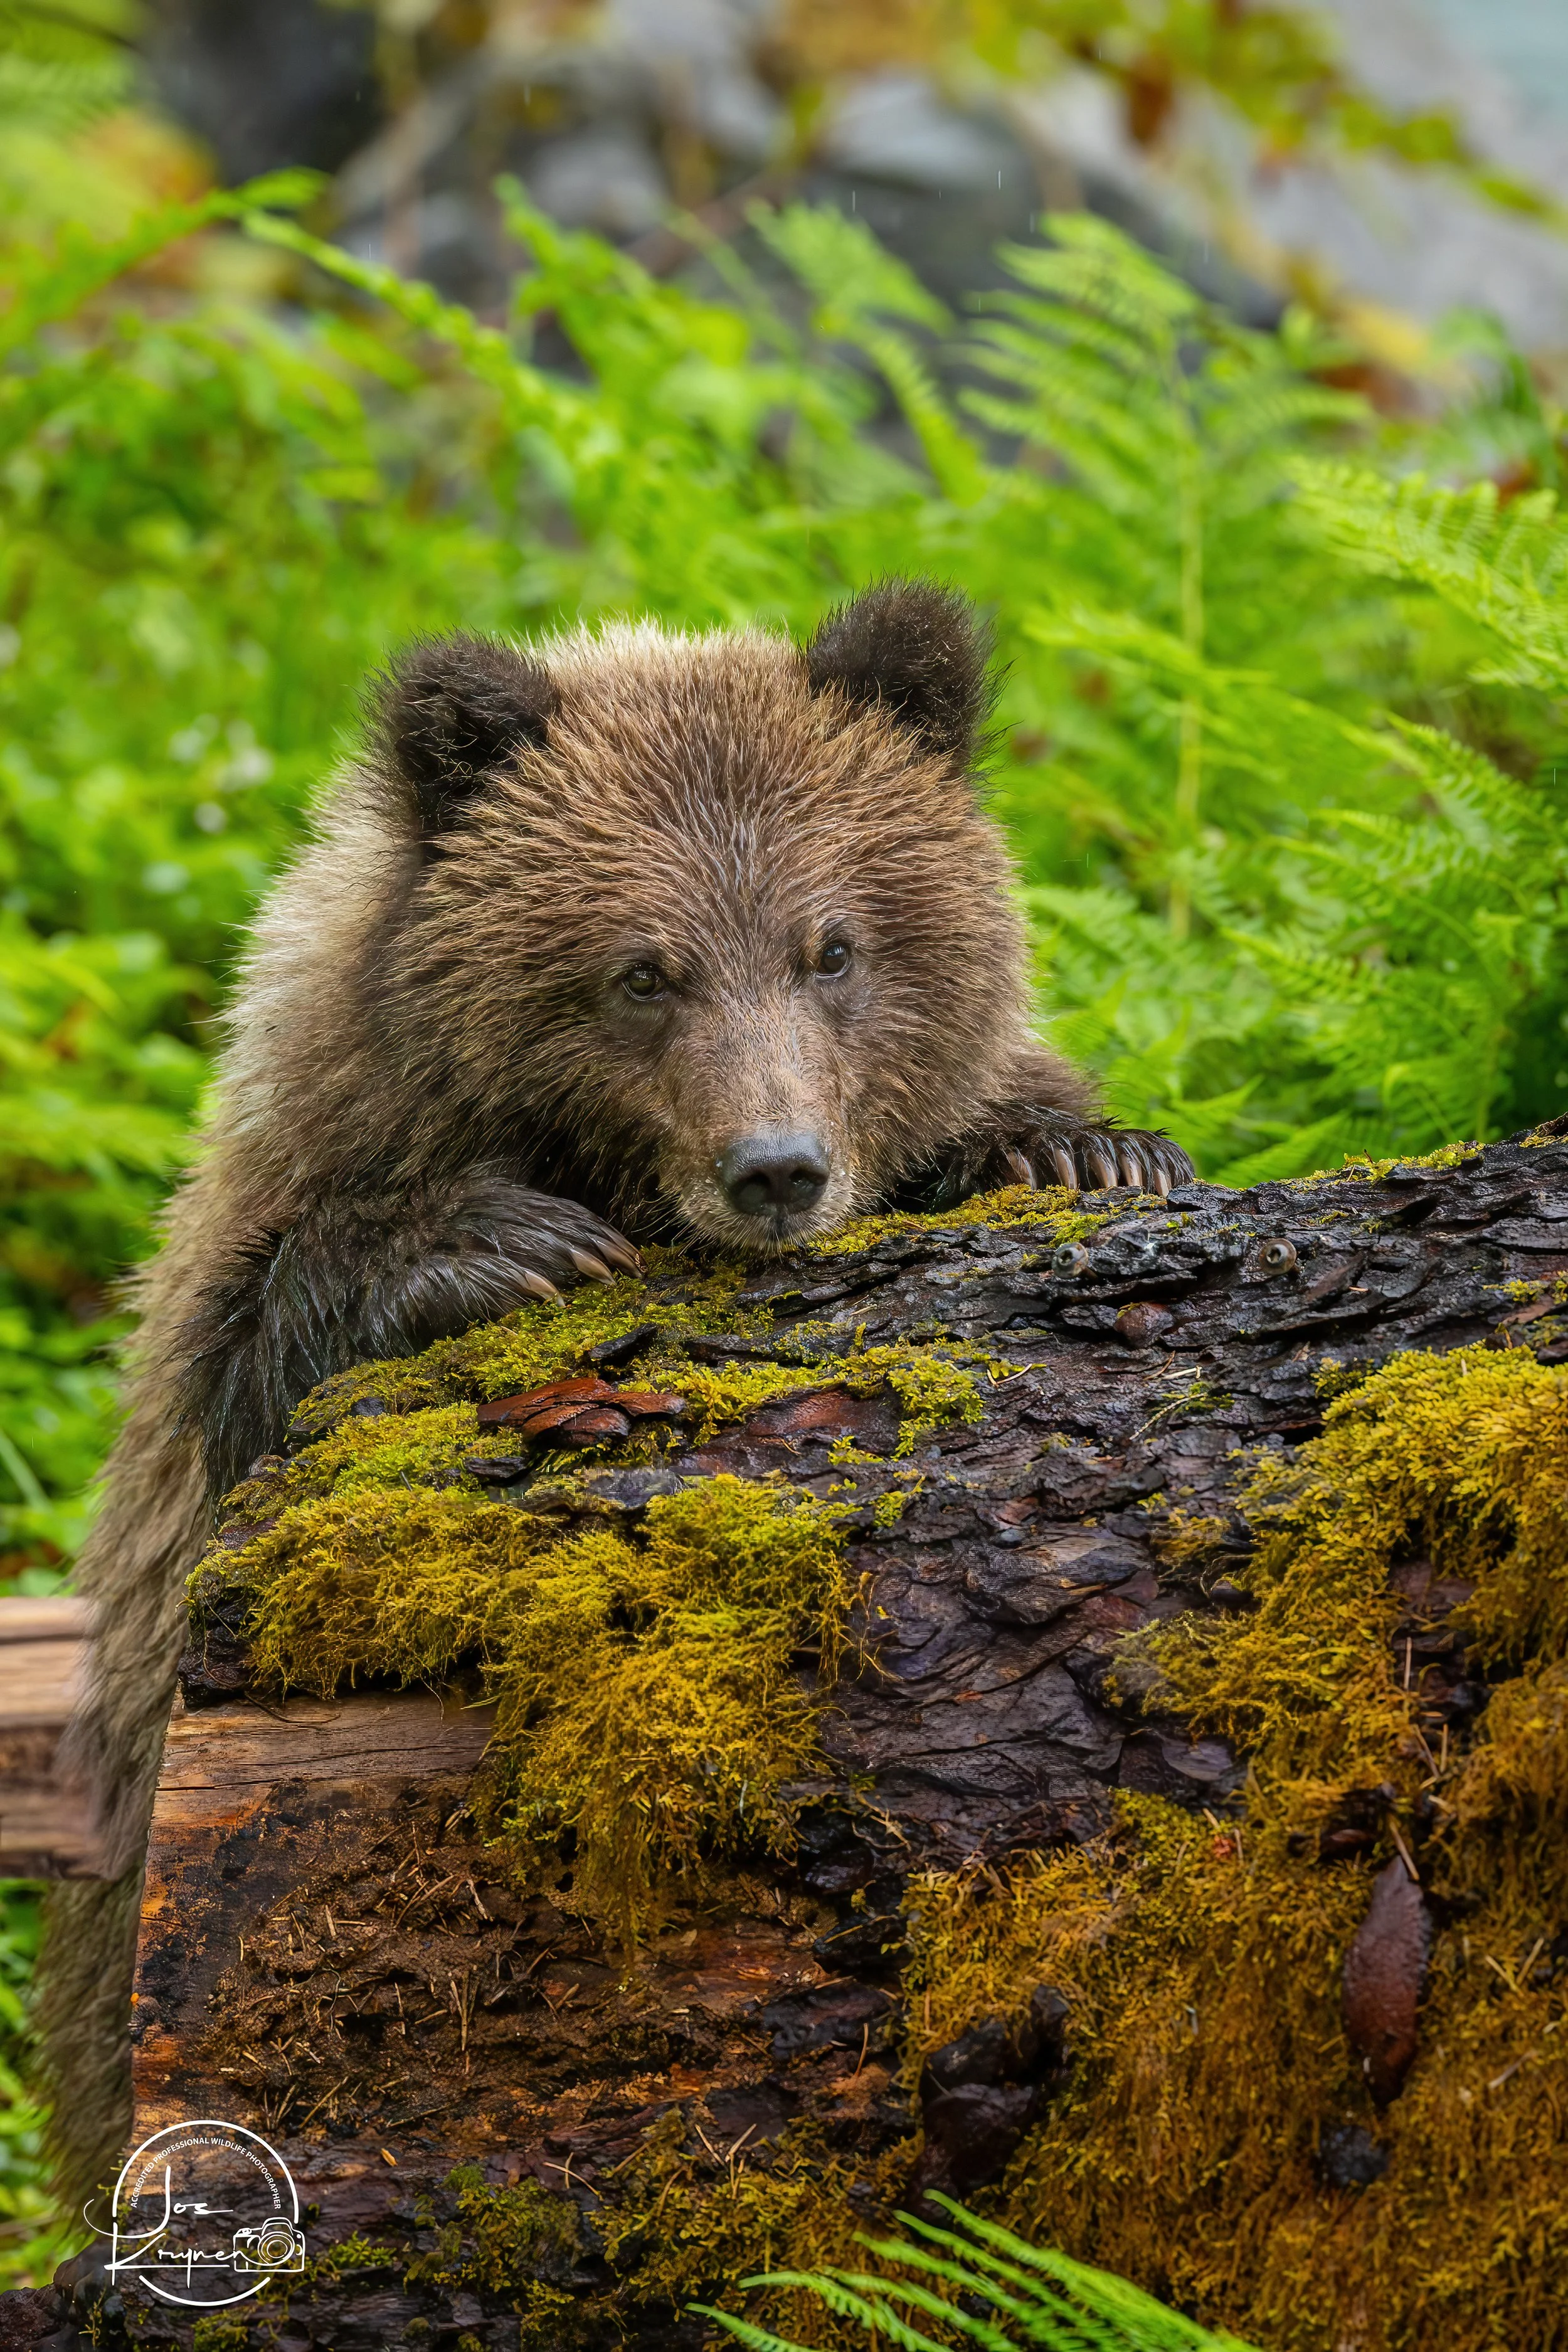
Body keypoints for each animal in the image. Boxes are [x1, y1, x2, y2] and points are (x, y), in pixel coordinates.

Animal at [39, 579, 1191, 2214]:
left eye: (832, 945)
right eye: (642, 969)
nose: (775, 1166)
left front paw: (1074, 1151)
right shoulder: (261, 1248)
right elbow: (263, 1390)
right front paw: (490, 1244)